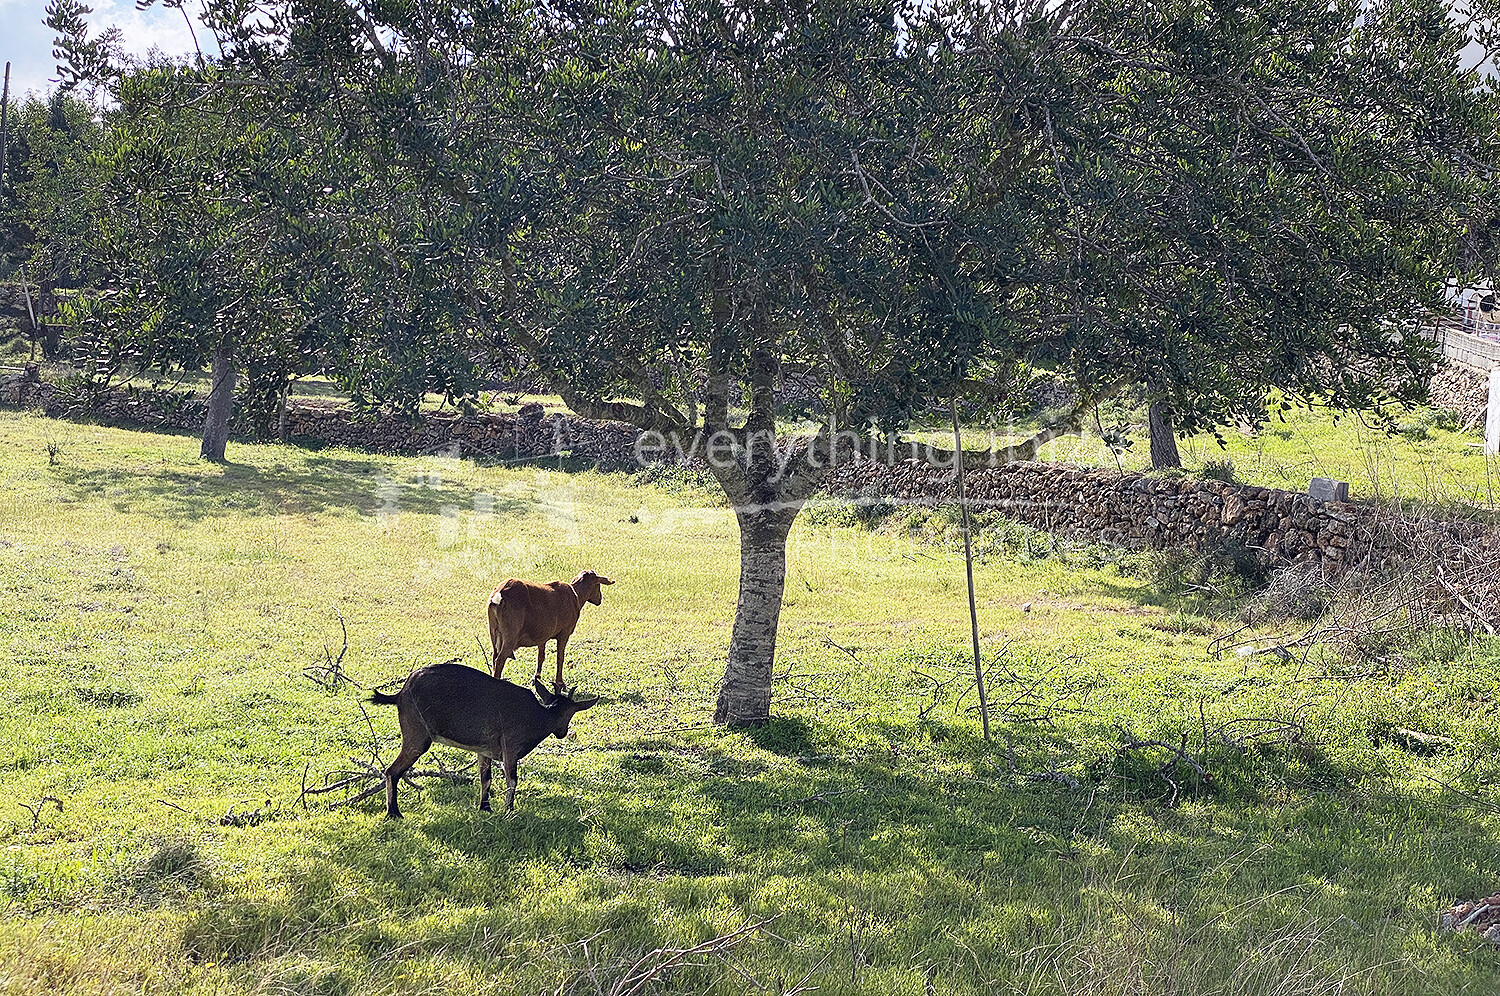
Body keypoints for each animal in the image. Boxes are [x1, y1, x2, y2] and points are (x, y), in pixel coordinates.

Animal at [369, 660, 597, 816]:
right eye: (570, 714)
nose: (562, 733)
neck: (538, 716)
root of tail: (400, 694)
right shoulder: (510, 748)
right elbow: (512, 780)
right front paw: (509, 811)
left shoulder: (484, 748)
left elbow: (485, 779)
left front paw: (485, 808)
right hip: (417, 734)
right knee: (392, 770)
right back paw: (394, 813)